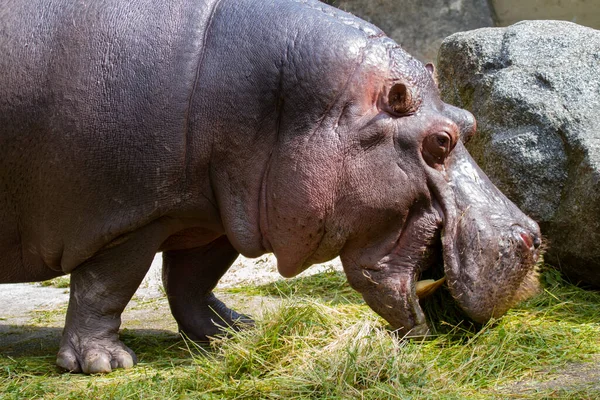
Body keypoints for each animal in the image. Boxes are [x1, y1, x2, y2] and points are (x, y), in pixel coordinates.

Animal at [1, 0, 544, 374]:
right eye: (440, 140)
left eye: (468, 119)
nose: (532, 237)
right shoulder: (131, 217)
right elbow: (106, 286)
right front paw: (105, 364)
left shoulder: (213, 211)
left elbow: (193, 279)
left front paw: (236, 333)